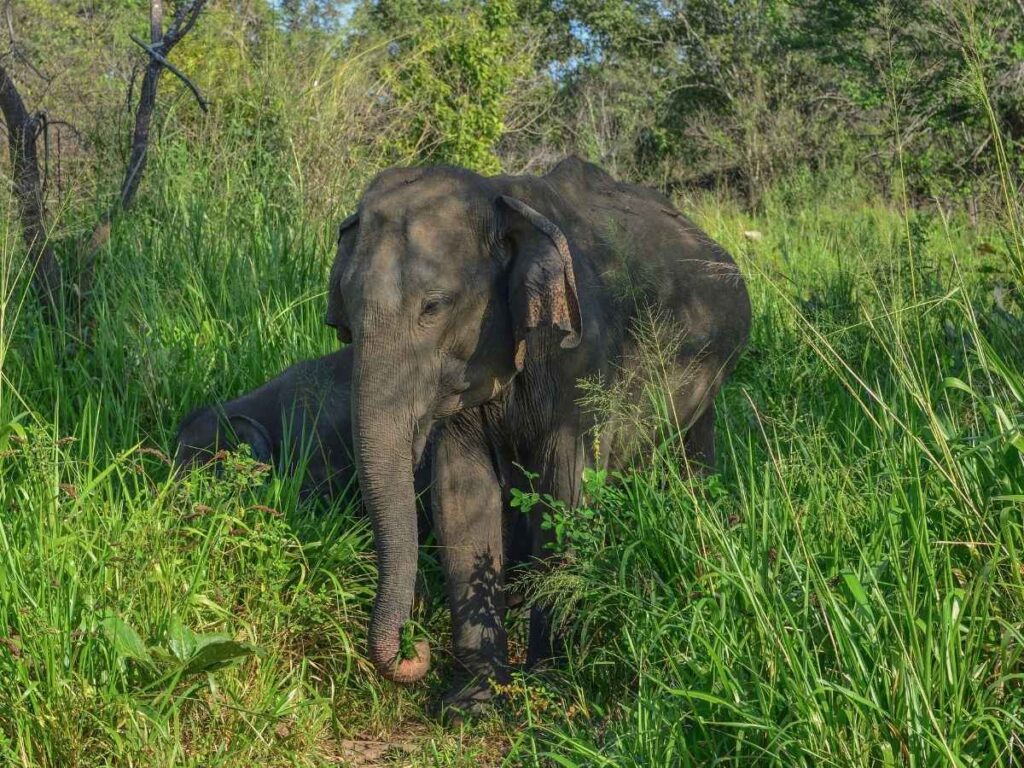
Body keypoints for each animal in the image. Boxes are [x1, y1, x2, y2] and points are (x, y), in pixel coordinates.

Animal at [325, 156, 751, 714]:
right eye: (347, 319)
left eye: (433, 306)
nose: (415, 650)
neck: (499, 196)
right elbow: (460, 493)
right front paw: (472, 701)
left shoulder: (586, 360)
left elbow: (566, 491)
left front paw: (551, 682)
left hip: (711, 371)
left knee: (692, 455)